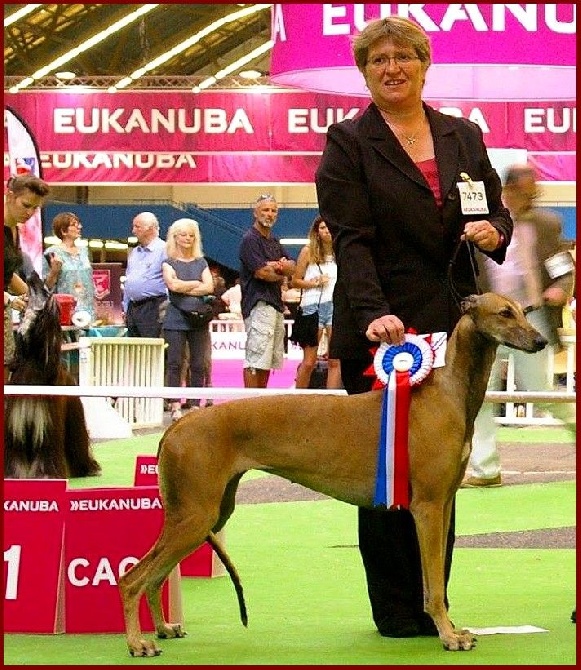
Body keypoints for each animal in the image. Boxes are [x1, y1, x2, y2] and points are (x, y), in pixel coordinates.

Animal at [120, 294, 548, 656]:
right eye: (504, 313)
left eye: (524, 310)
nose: (541, 340)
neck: (446, 392)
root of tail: (179, 424)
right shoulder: (426, 507)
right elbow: (434, 586)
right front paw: (447, 635)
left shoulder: (442, 504)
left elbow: (437, 579)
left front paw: (452, 629)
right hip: (196, 515)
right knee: (132, 578)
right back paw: (138, 643)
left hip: (207, 514)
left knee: (155, 576)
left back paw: (164, 629)